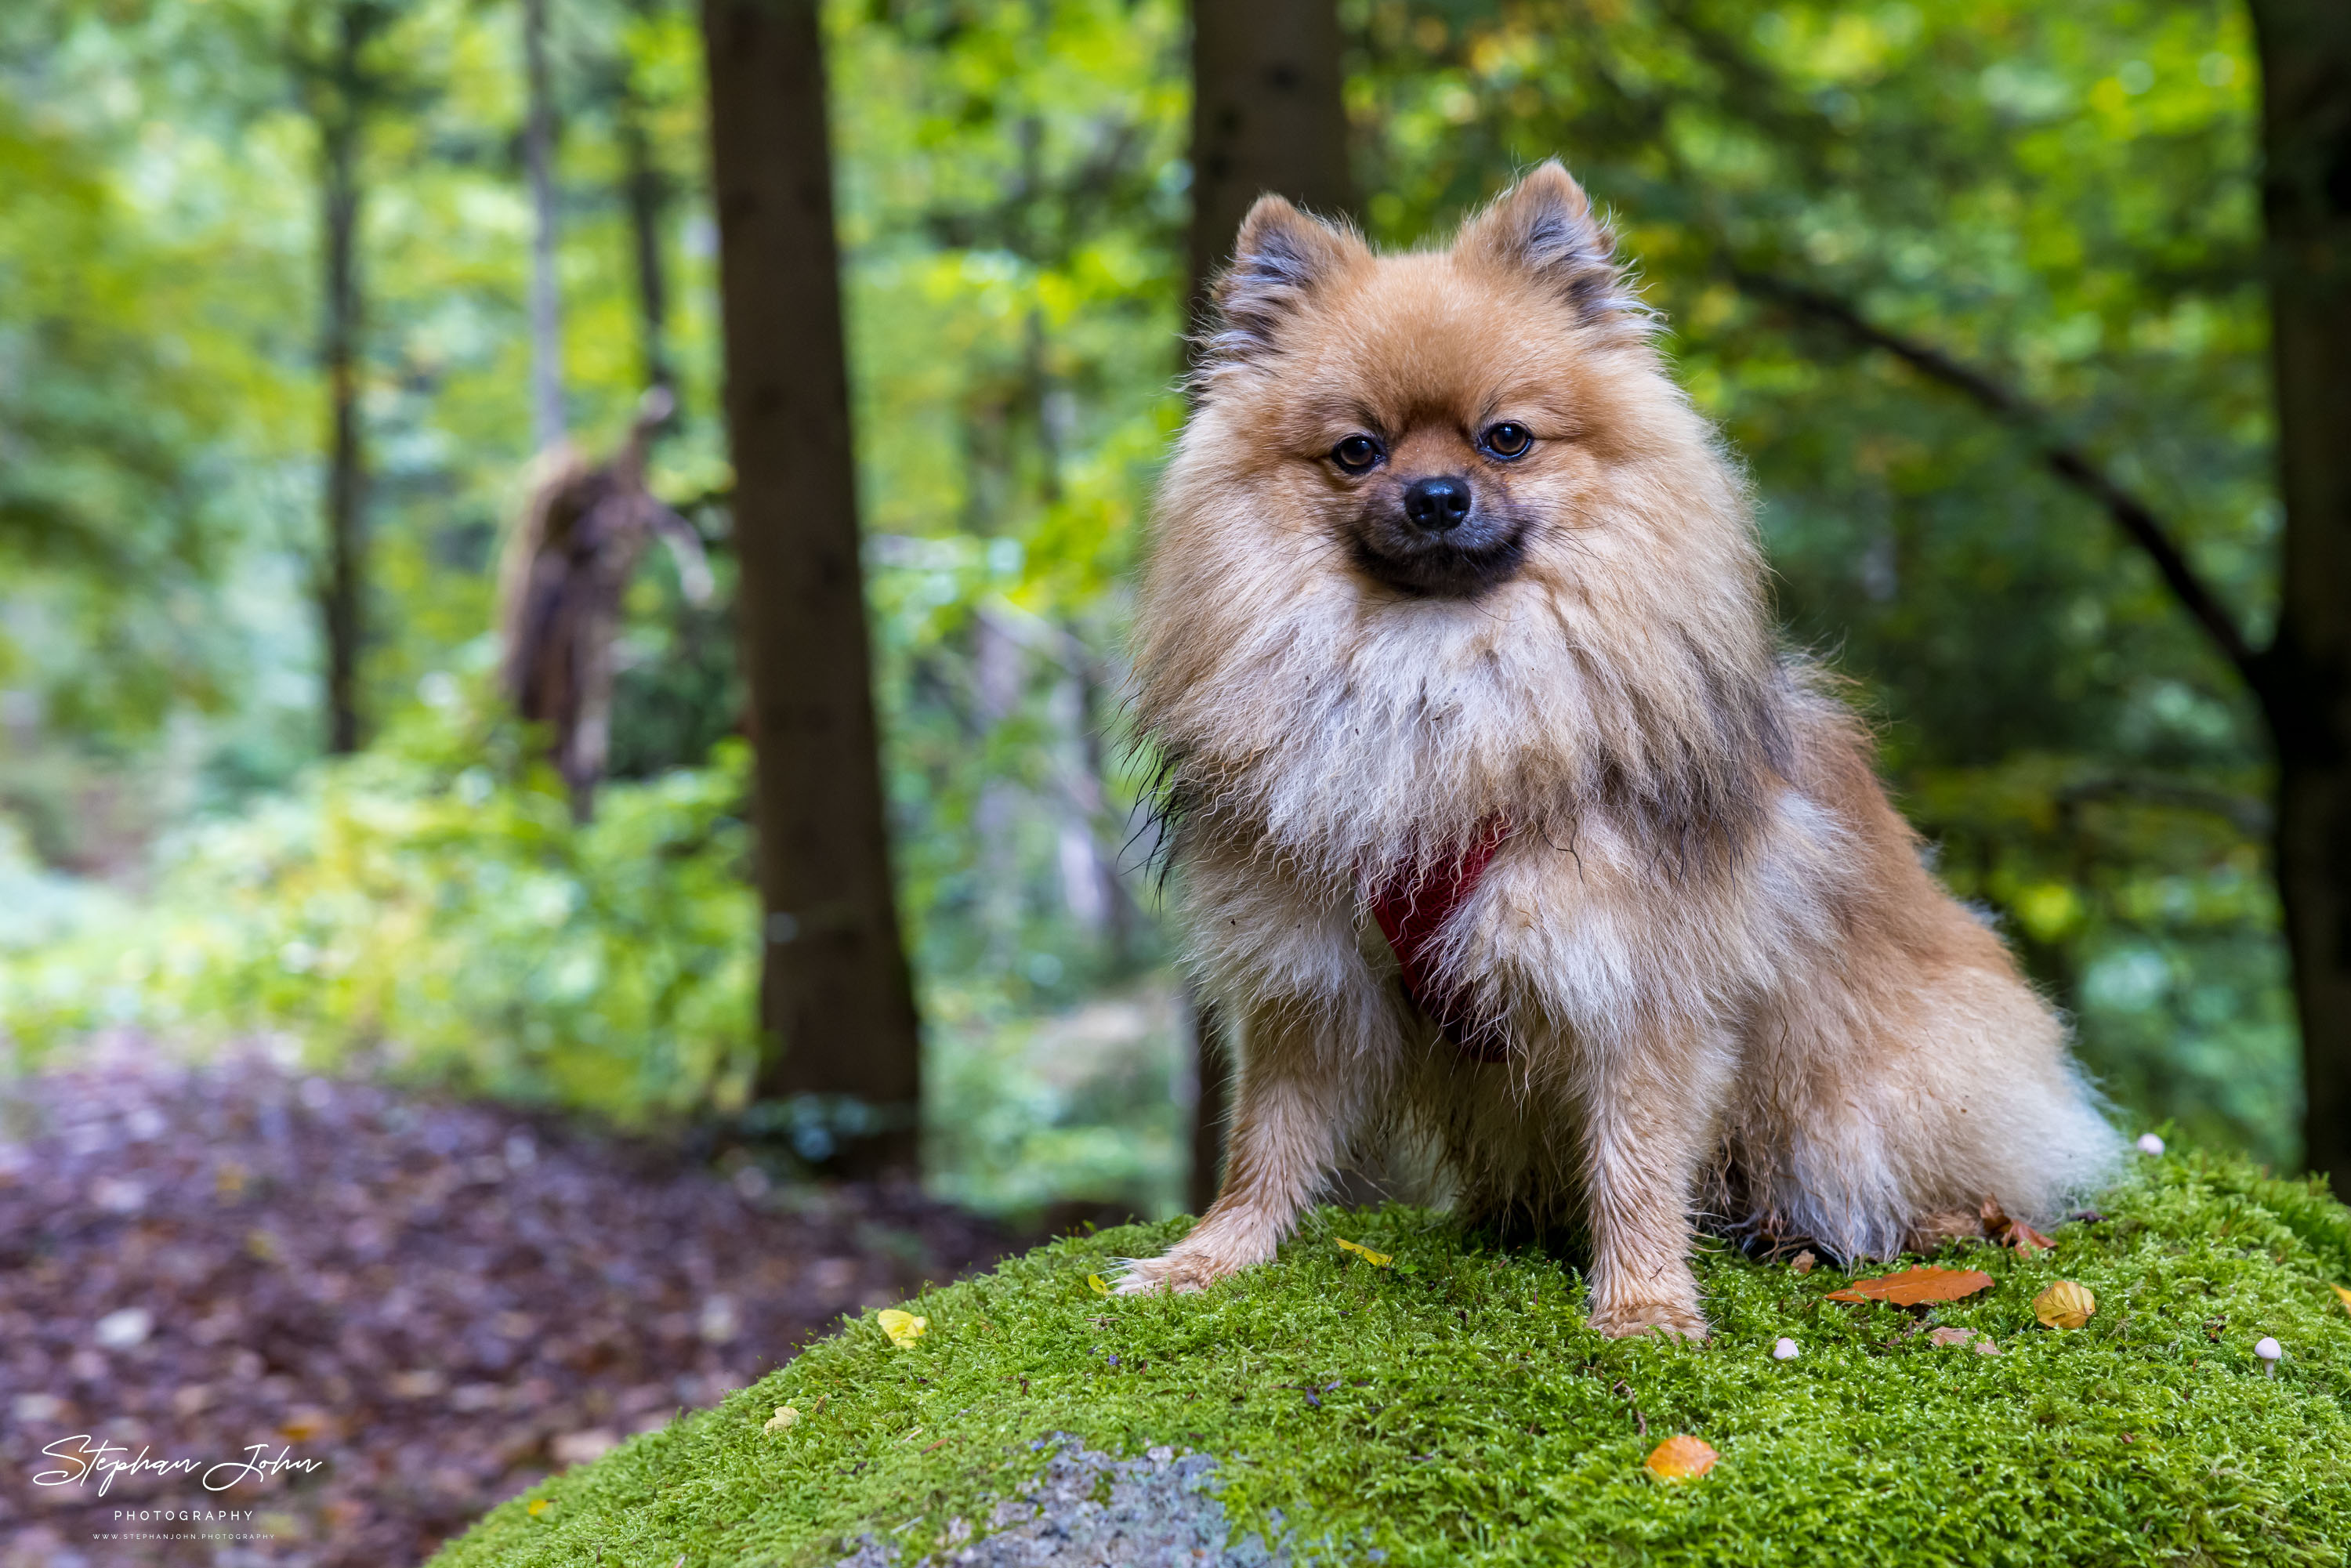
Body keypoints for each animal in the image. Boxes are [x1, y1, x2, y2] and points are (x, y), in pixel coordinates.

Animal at [1110, 160, 2125, 1335]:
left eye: (1505, 438)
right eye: (1357, 451)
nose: (1436, 496)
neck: (1440, 679)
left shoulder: (1636, 979)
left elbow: (1636, 1158)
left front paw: (1642, 1305)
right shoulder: (1307, 977)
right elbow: (1263, 1145)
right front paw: (1209, 1261)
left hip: (1870, 1097)